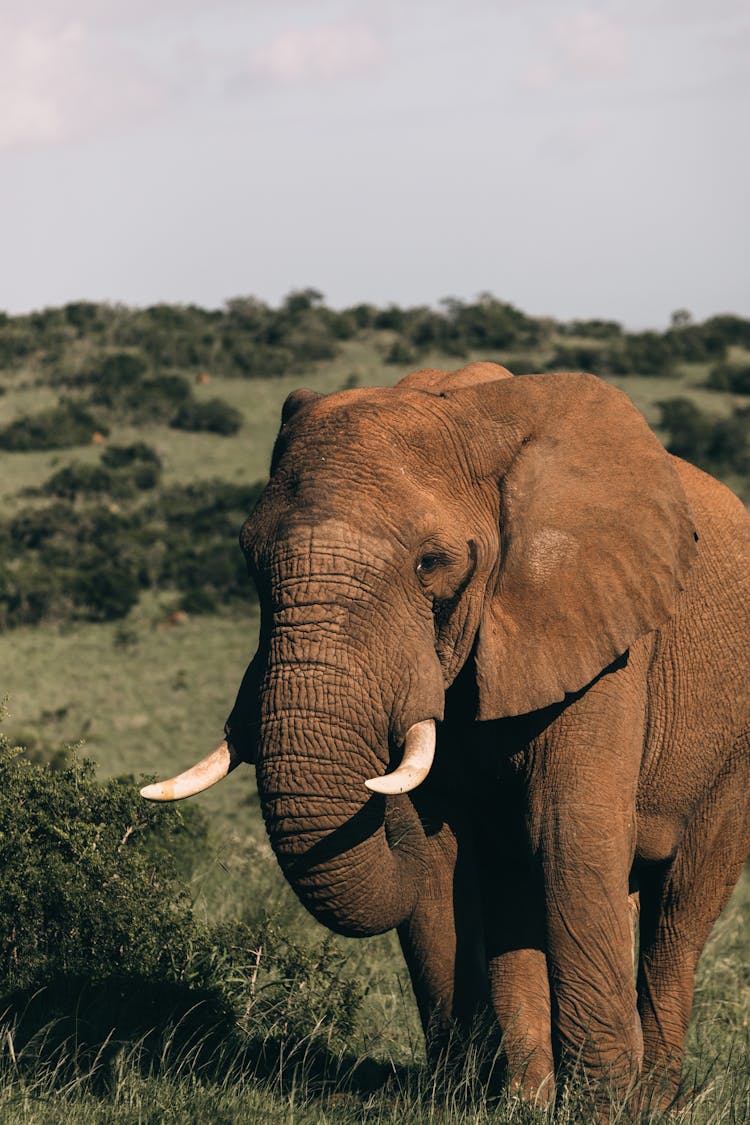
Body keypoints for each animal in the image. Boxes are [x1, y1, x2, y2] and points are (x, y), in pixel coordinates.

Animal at [142, 362, 750, 1107]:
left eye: (430, 563)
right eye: (251, 560)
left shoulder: (605, 637)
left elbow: (567, 835)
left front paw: (599, 1111)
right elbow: (437, 860)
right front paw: (467, 1101)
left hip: (732, 748)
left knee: (678, 913)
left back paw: (650, 1097)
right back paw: (529, 1096)